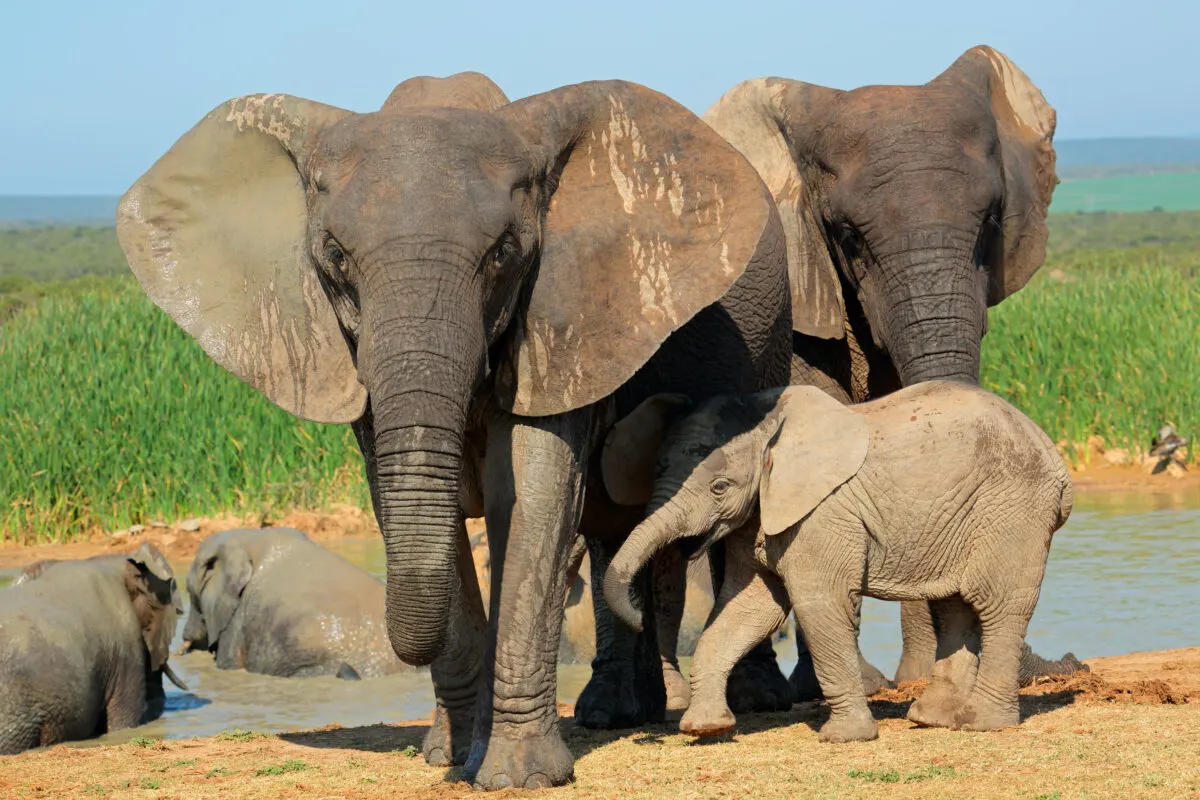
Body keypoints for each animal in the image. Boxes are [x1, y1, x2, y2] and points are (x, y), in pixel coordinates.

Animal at [604, 381, 1075, 743]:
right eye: (658, 468)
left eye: (720, 487)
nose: (639, 616)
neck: (769, 422)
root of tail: (1054, 454)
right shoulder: (762, 514)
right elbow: (749, 608)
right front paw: (706, 730)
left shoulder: (819, 514)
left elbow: (819, 604)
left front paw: (844, 737)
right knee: (955, 605)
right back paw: (932, 719)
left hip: (1013, 507)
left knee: (998, 606)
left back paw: (982, 724)